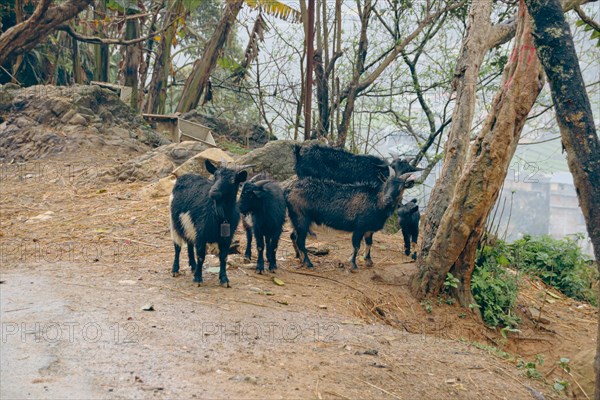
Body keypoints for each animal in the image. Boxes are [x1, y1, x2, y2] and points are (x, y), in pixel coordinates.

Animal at [168, 159, 247, 288]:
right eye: (215, 176)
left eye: (232, 180)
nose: (213, 191)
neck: (220, 215)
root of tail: (184, 176)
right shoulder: (201, 234)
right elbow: (201, 256)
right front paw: (198, 279)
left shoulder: (227, 238)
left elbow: (223, 257)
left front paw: (224, 279)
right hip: (174, 222)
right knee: (177, 246)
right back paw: (175, 269)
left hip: (190, 226)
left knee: (189, 244)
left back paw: (193, 266)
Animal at [284, 170, 414, 270]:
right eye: (386, 184)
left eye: (401, 187)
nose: (387, 199)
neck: (376, 202)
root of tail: (288, 189)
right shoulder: (359, 227)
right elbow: (356, 245)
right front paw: (353, 265)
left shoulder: (369, 229)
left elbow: (369, 243)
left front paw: (368, 261)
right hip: (302, 218)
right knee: (300, 240)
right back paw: (309, 263)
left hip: (297, 219)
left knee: (293, 235)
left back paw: (300, 258)